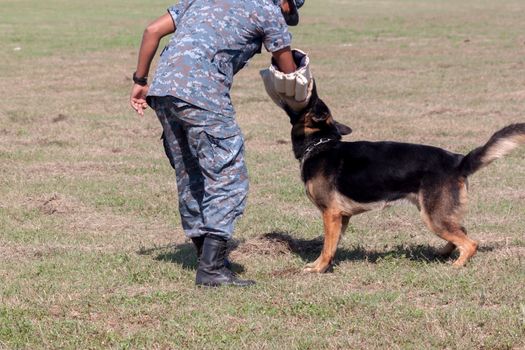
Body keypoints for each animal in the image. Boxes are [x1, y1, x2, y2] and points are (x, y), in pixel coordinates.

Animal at [284, 85, 524, 274]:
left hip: (433, 217)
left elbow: (326, 247)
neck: (320, 143)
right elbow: (331, 246)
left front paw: (318, 269)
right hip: (437, 214)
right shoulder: (341, 218)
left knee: (471, 243)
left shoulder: (331, 214)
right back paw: (443, 254)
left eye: (311, 100)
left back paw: (456, 266)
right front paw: (320, 265)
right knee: (461, 232)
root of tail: (458, 161)